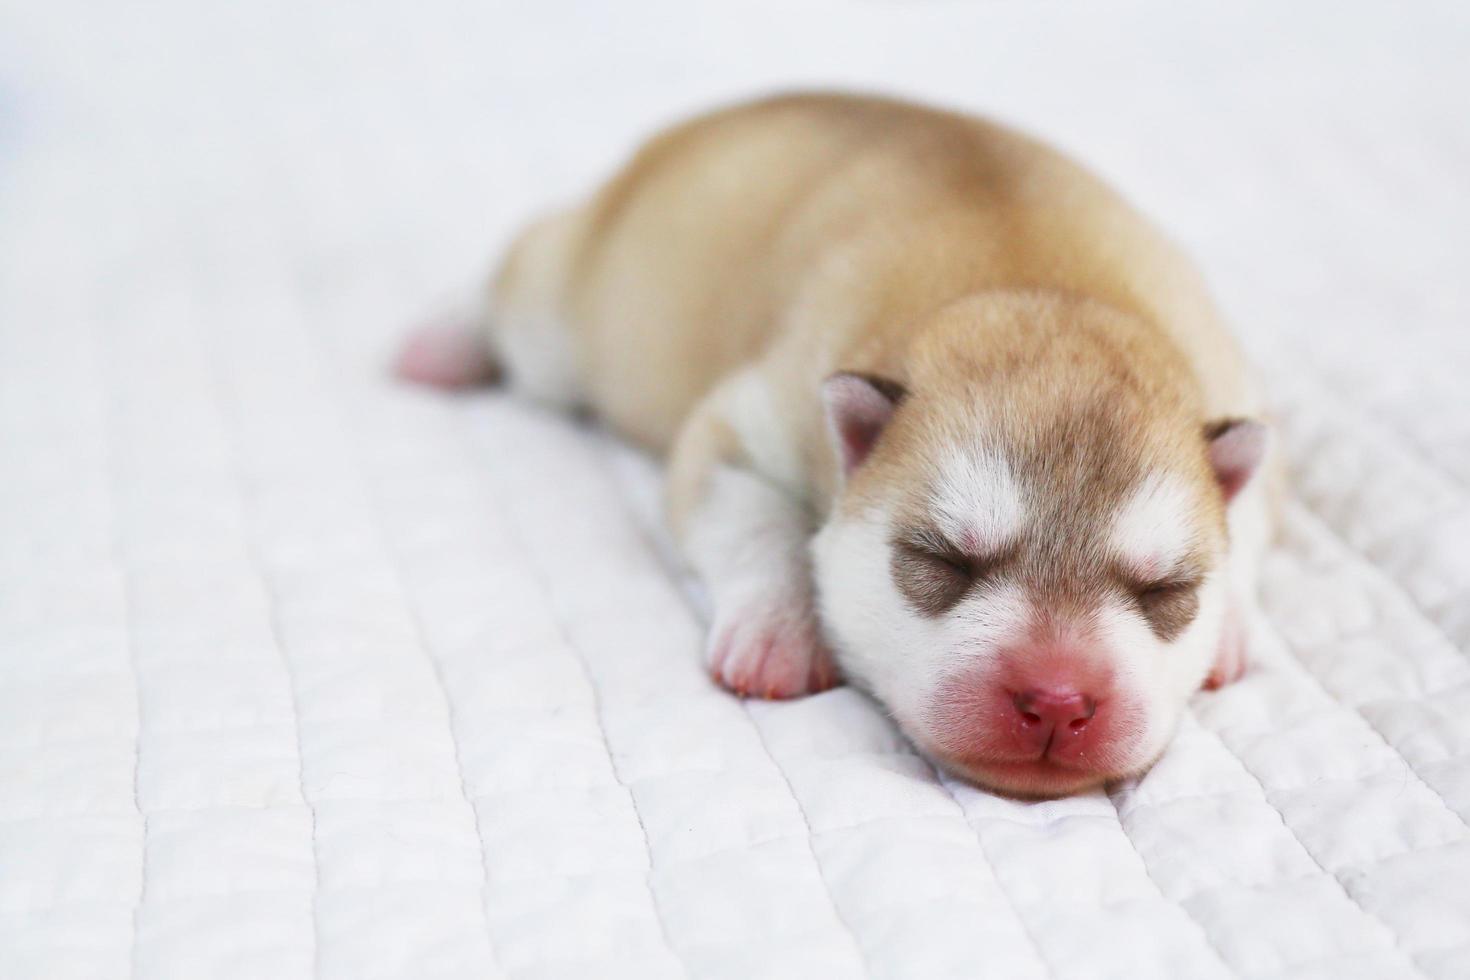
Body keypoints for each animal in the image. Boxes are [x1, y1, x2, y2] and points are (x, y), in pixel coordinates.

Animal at [402, 94, 1275, 799]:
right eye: (940, 559)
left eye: (1166, 589)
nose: (1057, 698)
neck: (1032, 286)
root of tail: (678, 134)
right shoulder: (752, 423)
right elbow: (754, 518)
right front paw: (776, 631)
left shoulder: (1236, 393)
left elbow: (1249, 521)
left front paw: (1233, 624)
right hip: (561, 315)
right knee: (518, 278)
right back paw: (441, 339)